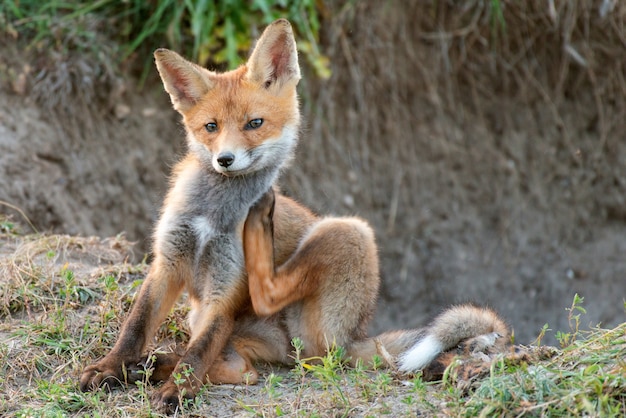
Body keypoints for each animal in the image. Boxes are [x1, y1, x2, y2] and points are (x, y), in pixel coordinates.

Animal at [79, 18, 508, 414]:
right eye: (211, 127)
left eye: (254, 123)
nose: (225, 160)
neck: (212, 214)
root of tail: (353, 337)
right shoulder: (167, 263)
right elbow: (135, 328)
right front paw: (110, 368)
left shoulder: (225, 286)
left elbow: (197, 354)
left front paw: (177, 391)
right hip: (208, 317)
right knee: (241, 370)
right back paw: (152, 365)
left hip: (346, 234)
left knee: (260, 323)